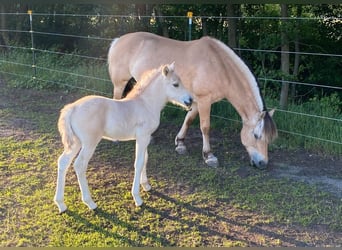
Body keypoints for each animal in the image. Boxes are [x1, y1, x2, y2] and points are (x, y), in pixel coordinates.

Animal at [53, 63, 192, 213]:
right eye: (175, 84)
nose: (190, 100)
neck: (146, 104)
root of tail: (72, 108)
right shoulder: (142, 137)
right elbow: (139, 163)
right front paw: (137, 198)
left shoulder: (145, 138)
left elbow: (145, 159)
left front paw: (146, 185)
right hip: (89, 143)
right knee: (79, 165)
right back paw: (90, 203)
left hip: (76, 142)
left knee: (63, 162)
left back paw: (61, 204)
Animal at [109, 31, 278, 168]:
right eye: (256, 135)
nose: (263, 163)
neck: (219, 65)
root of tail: (118, 40)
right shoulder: (204, 100)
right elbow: (205, 127)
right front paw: (209, 156)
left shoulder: (196, 101)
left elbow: (189, 120)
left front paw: (180, 143)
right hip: (120, 83)